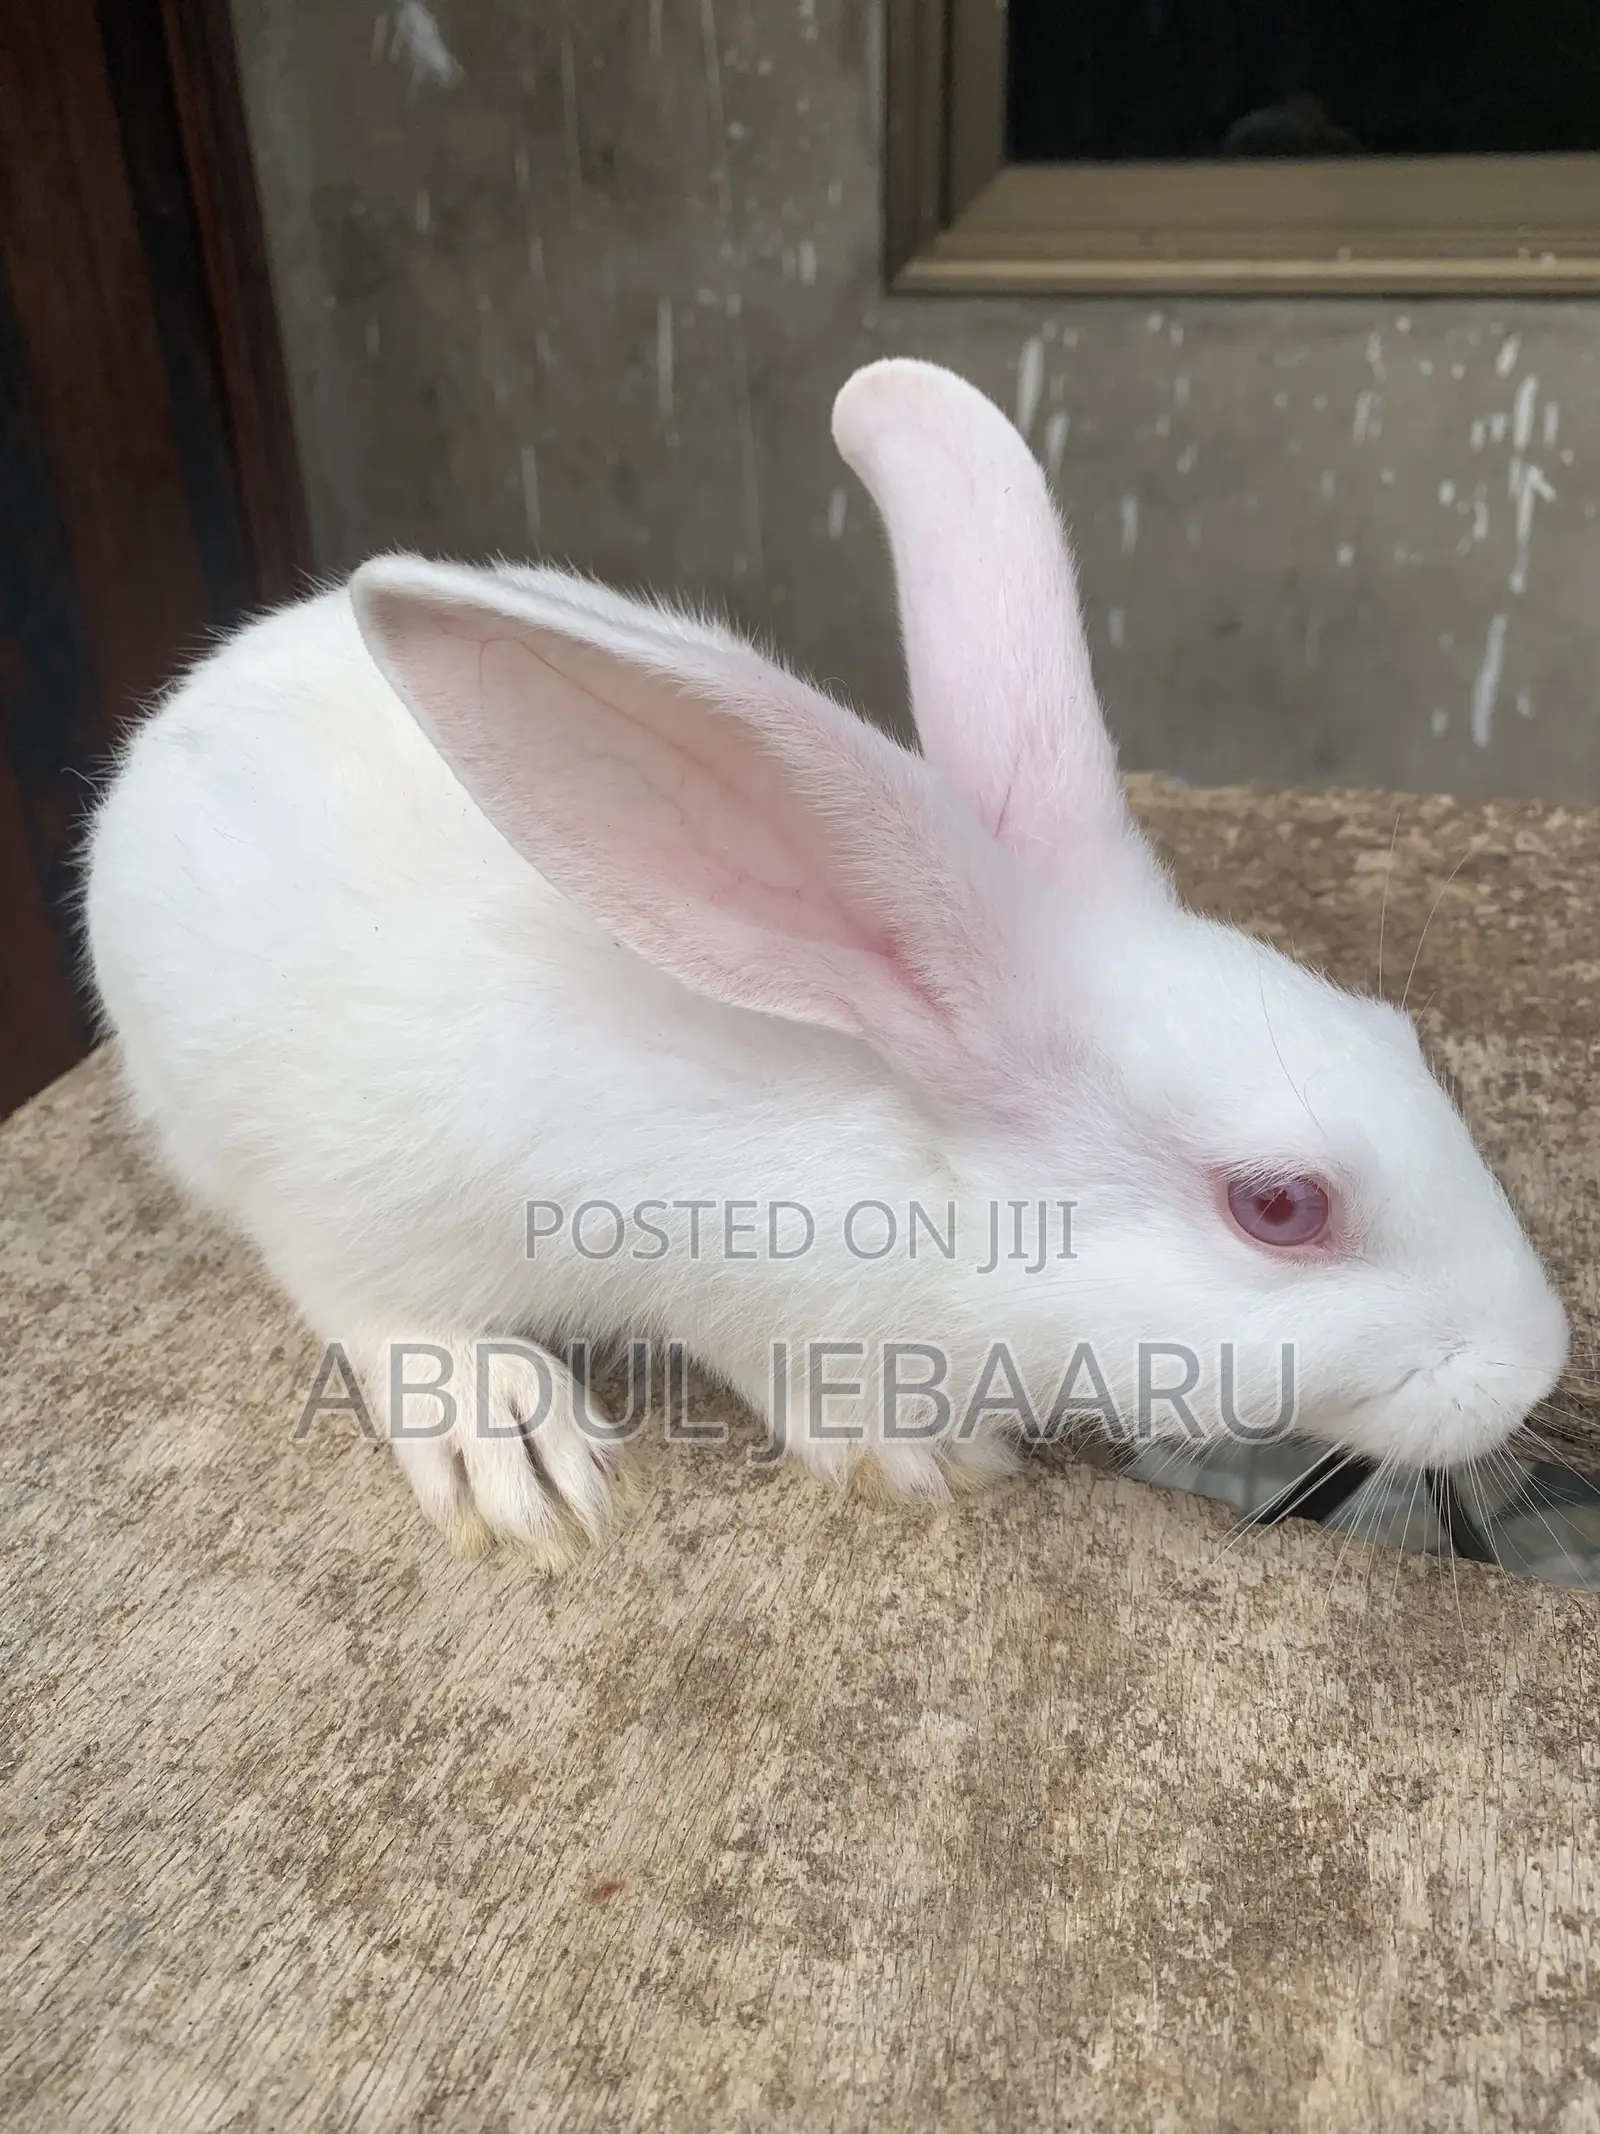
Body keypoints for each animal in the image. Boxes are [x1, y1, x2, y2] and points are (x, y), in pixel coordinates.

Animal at [84, 358, 1568, 1561]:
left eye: (1397, 1034)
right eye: (1279, 1205)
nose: (1538, 1360)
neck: (896, 1124)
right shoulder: (706, 1269)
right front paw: (918, 1455)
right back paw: (511, 1437)